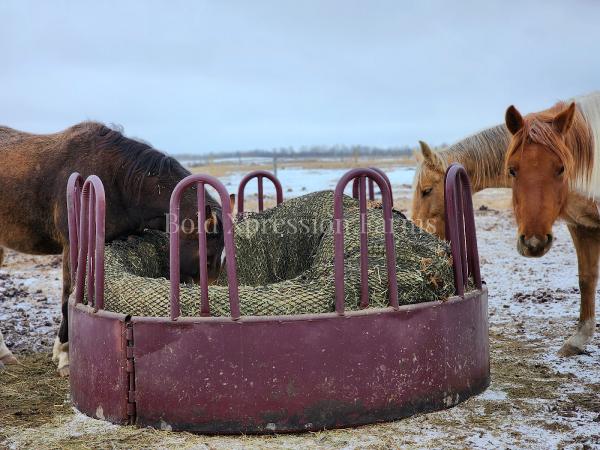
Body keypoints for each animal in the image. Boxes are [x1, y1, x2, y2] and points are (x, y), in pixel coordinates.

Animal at [412, 90, 600, 356]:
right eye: (512, 170)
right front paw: (579, 339)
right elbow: (586, 278)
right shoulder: (582, 226)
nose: (416, 228)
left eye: (426, 190)